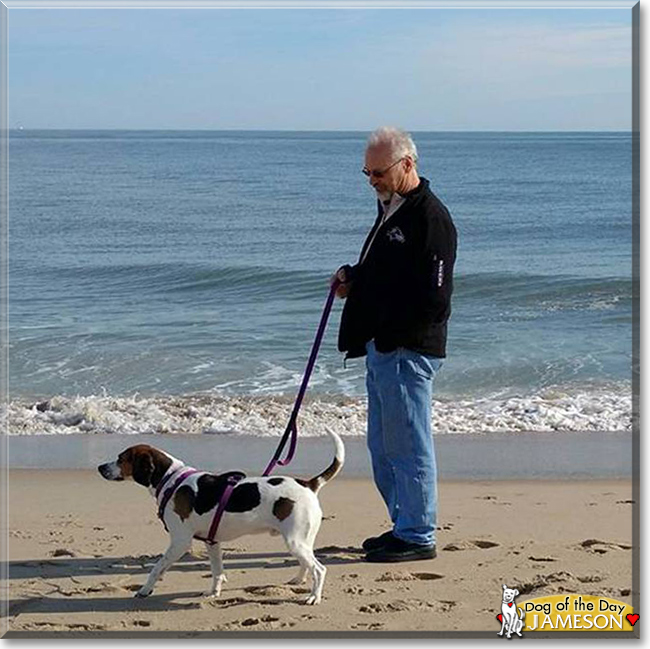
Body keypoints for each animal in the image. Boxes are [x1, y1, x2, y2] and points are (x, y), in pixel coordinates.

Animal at [97, 428, 344, 604]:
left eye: (121, 458)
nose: (100, 467)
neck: (171, 479)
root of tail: (308, 484)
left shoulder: (180, 542)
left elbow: (157, 568)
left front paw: (145, 590)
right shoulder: (212, 542)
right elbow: (217, 571)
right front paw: (214, 593)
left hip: (295, 541)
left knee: (319, 569)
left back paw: (314, 597)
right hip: (300, 540)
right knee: (307, 563)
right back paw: (299, 580)